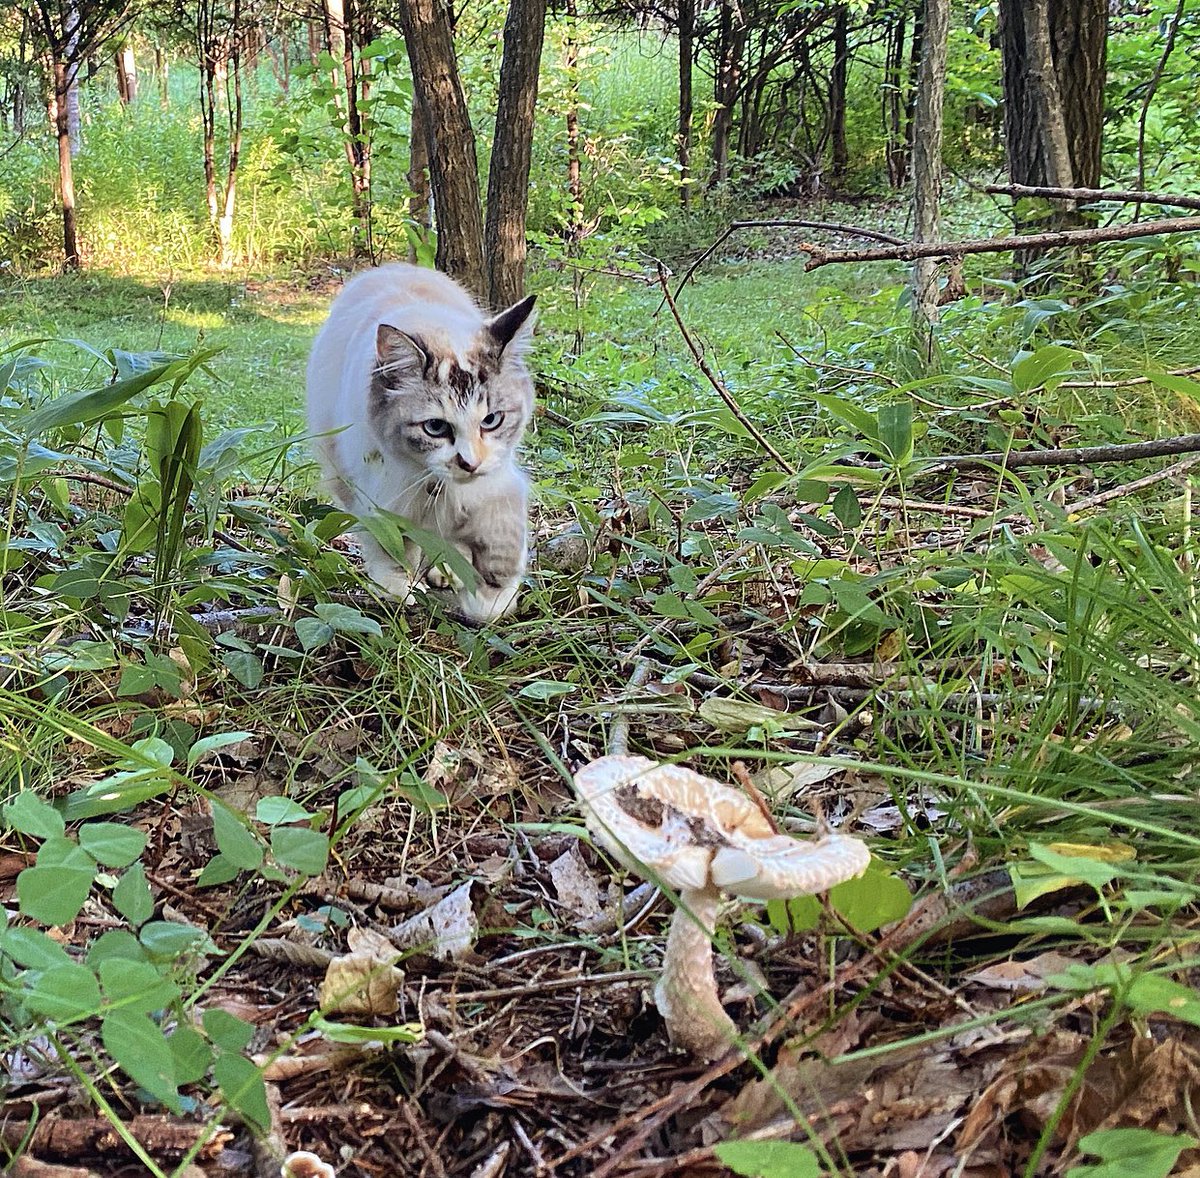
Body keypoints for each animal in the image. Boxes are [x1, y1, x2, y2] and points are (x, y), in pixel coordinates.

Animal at [306, 263, 537, 622]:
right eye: (435, 427)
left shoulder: (497, 483)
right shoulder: (380, 494)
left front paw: (490, 600)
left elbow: (501, 543)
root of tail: (393, 268)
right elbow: (390, 547)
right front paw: (398, 589)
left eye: (490, 420)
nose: (469, 463)